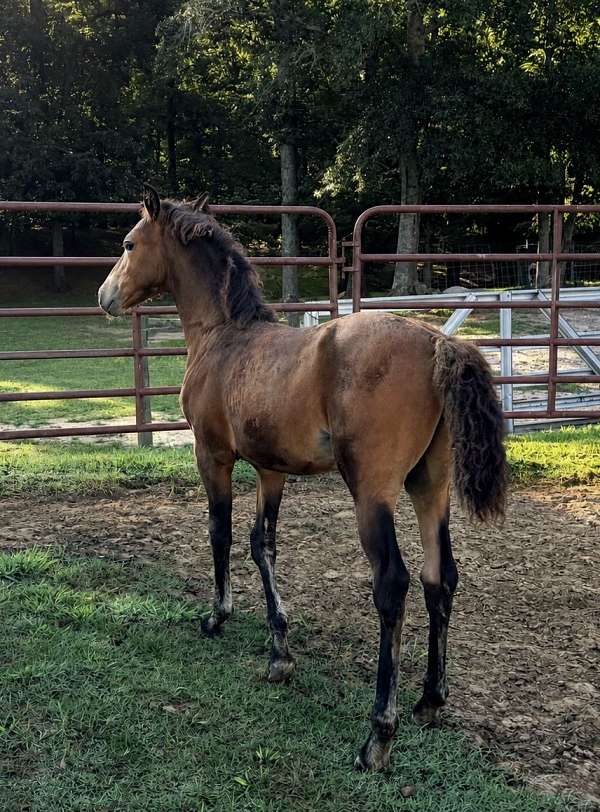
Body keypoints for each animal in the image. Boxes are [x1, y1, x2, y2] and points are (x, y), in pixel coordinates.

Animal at [98, 185, 507, 772]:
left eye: (130, 244)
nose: (104, 295)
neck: (224, 336)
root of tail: (436, 344)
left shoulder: (212, 456)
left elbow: (220, 534)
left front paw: (217, 617)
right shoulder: (272, 471)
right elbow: (262, 543)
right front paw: (279, 652)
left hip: (373, 492)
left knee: (394, 584)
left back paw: (378, 735)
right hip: (430, 485)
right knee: (440, 576)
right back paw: (430, 699)